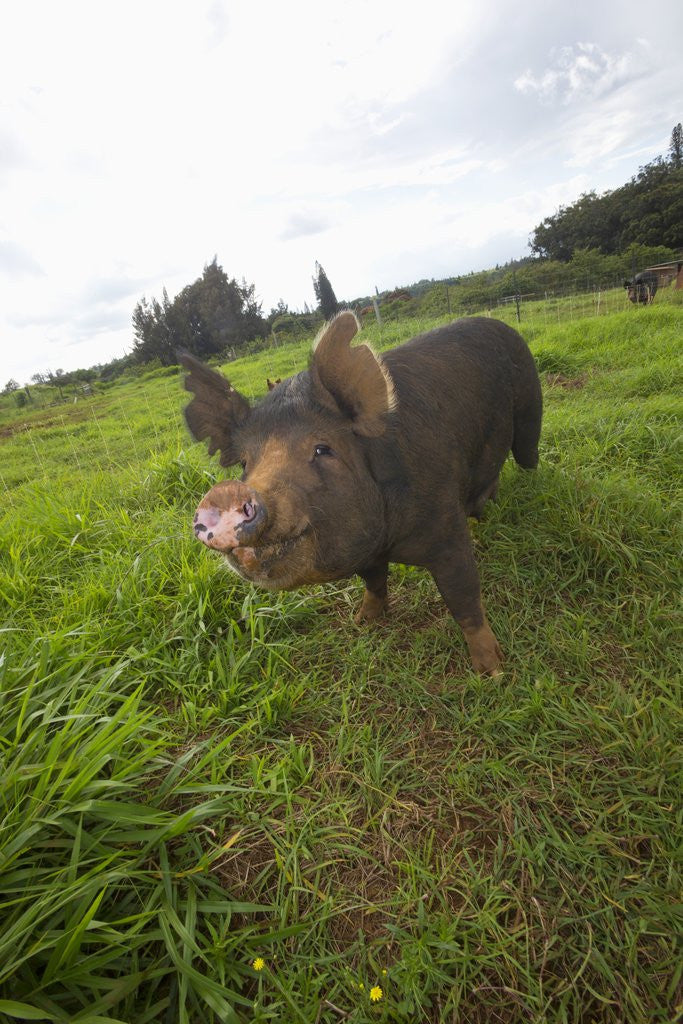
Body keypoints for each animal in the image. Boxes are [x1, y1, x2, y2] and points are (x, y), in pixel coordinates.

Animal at [180, 311, 542, 675]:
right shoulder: (367, 551)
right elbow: (373, 582)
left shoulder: (447, 529)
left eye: (323, 449)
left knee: (529, 458)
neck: (390, 544)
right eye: (244, 463)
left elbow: (463, 596)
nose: (227, 493)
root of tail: (496, 322)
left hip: (530, 412)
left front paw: (492, 670)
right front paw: (362, 622)